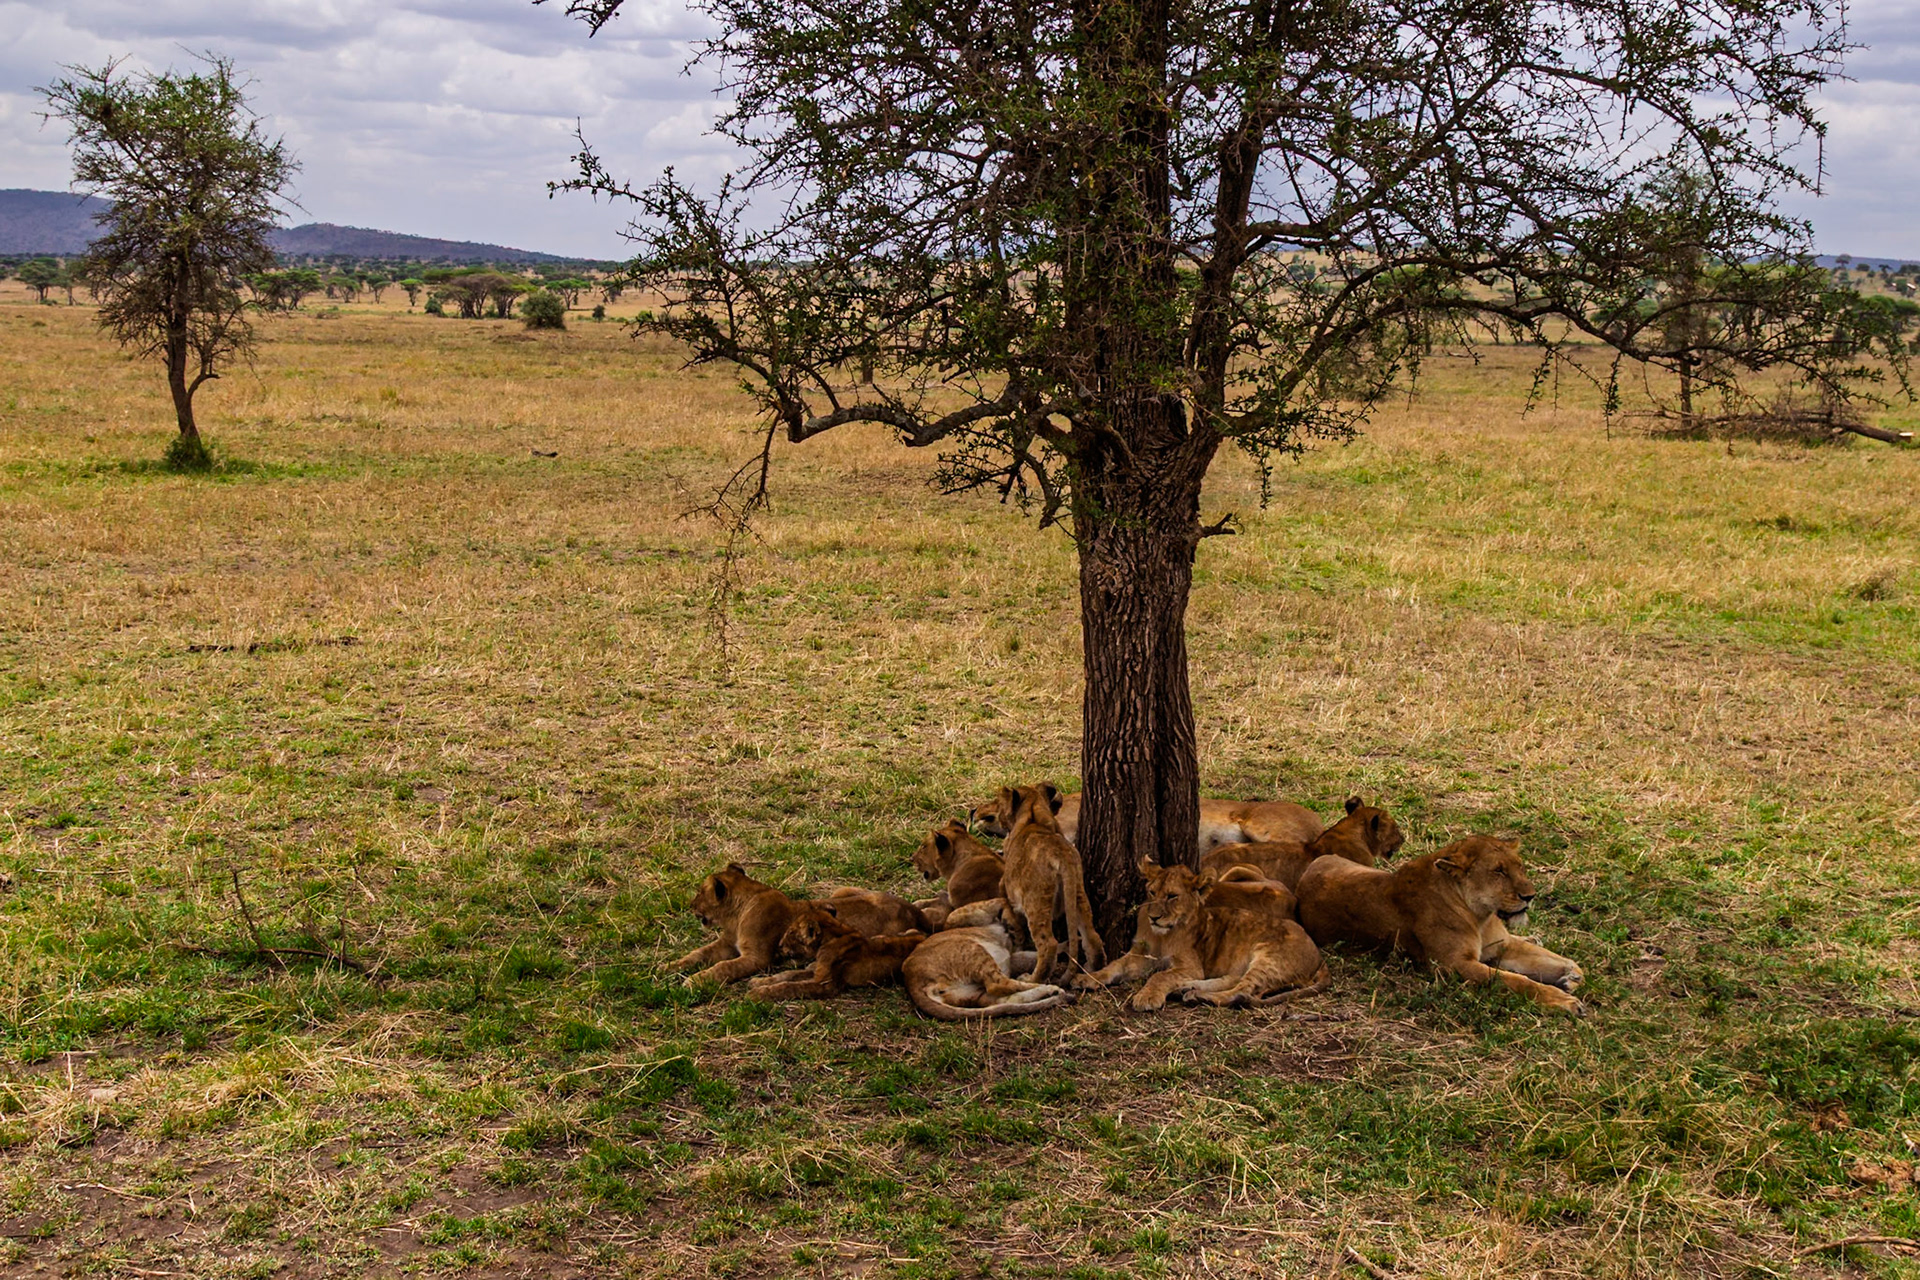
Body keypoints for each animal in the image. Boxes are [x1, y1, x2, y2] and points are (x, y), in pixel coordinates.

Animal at [749, 908, 928, 1000]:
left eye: (791, 933)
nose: (779, 945)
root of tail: (924, 935)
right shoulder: (817, 972)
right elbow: (788, 975)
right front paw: (758, 982)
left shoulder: (826, 985)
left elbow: (790, 986)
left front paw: (758, 993)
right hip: (902, 932)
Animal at [902, 899, 1072, 1020]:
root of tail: (912, 981)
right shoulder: (972, 915)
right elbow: (1001, 901)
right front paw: (1014, 926)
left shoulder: (1013, 956)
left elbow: (1039, 956)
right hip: (972, 950)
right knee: (998, 984)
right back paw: (1050, 988)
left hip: (972, 993)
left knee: (1003, 1000)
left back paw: (1050, 991)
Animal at [998, 784, 1106, 981]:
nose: (1000, 820)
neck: (1033, 819)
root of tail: (1060, 856)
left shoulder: (1005, 885)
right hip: (1078, 891)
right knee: (1092, 936)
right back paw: (1093, 969)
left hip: (1036, 902)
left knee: (1048, 945)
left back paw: (1030, 979)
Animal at [1075, 861, 1327, 1011]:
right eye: (1152, 892)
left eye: (1172, 896)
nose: (1154, 918)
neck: (1162, 936)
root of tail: (1318, 955)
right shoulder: (1141, 955)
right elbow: (1114, 966)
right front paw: (1088, 977)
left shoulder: (1191, 965)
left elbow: (1159, 976)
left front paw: (1147, 997)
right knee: (1234, 980)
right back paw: (1187, 990)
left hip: (1268, 957)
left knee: (1244, 990)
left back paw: (1200, 997)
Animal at [1295, 835, 1585, 1015]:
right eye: (1498, 871)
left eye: (1520, 866)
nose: (1530, 896)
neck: (1479, 915)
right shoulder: (1452, 965)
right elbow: (1516, 981)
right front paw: (1564, 1000)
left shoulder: (1502, 946)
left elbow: (1552, 961)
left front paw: (1571, 977)